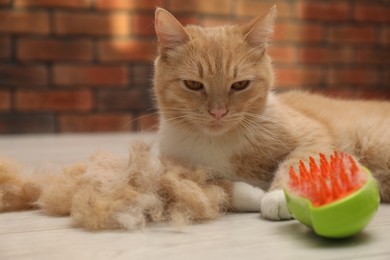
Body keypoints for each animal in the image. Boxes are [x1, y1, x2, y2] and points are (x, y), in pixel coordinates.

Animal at [153, 6, 390, 219]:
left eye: (240, 85)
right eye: (193, 84)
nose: (218, 112)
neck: (218, 141)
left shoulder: (313, 134)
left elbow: (299, 162)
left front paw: (278, 196)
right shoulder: (177, 171)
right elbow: (214, 187)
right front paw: (253, 195)